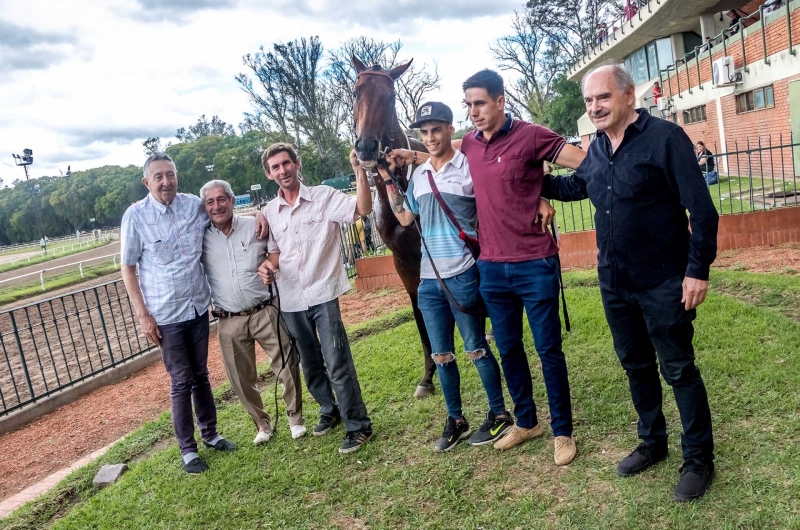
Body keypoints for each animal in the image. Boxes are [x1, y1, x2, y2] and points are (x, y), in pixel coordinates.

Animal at [352, 55, 438, 398]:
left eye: (389, 97)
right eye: (356, 93)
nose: (365, 147)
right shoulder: (403, 260)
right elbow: (419, 311)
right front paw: (428, 376)